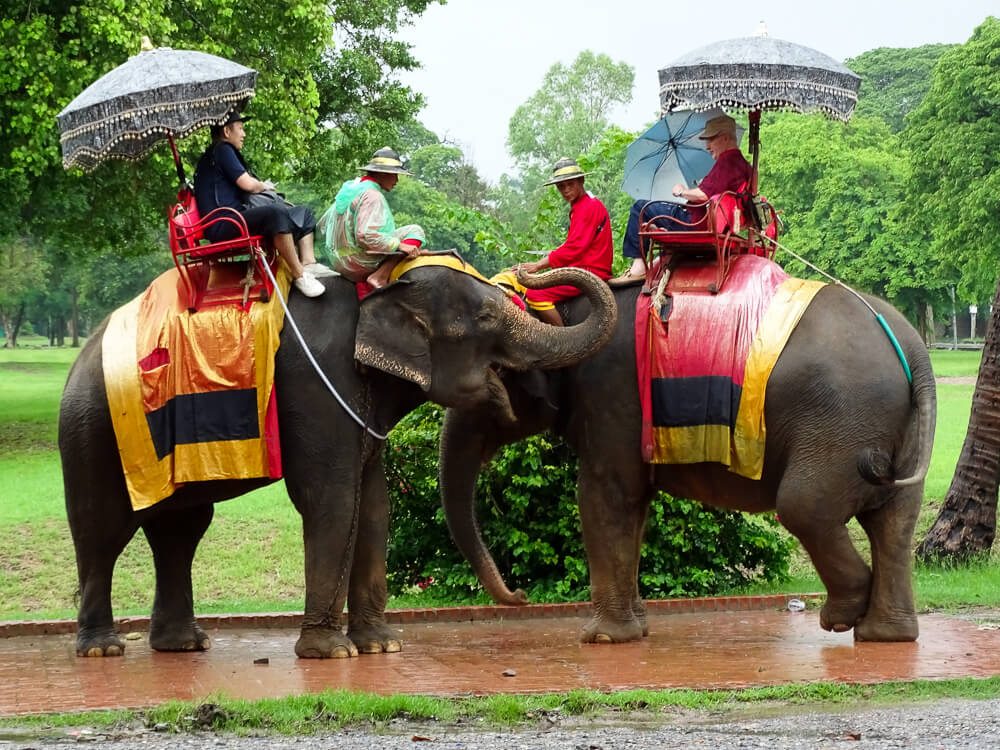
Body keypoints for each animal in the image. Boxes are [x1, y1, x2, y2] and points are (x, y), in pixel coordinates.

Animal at [58, 264, 616, 658]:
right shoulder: (316, 387)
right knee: (103, 528)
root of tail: (81, 354)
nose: (520, 595)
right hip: (93, 430)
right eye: (485, 319)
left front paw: (381, 646)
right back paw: (104, 648)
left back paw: (184, 644)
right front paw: (331, 653)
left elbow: (372, 503)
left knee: (182, 530)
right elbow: (331, 496)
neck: (378, 293)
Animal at [439, 279, 936, 644]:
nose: (520, 595)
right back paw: (885, 636)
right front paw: (635, 628)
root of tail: (914, 350)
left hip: (842, 421)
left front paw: (603, 639)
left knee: (805, 507)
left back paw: (843, 616)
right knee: (892, 523)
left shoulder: (613, 397)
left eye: (493, 376)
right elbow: (633, 506)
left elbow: (604, 495)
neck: (565, 317)